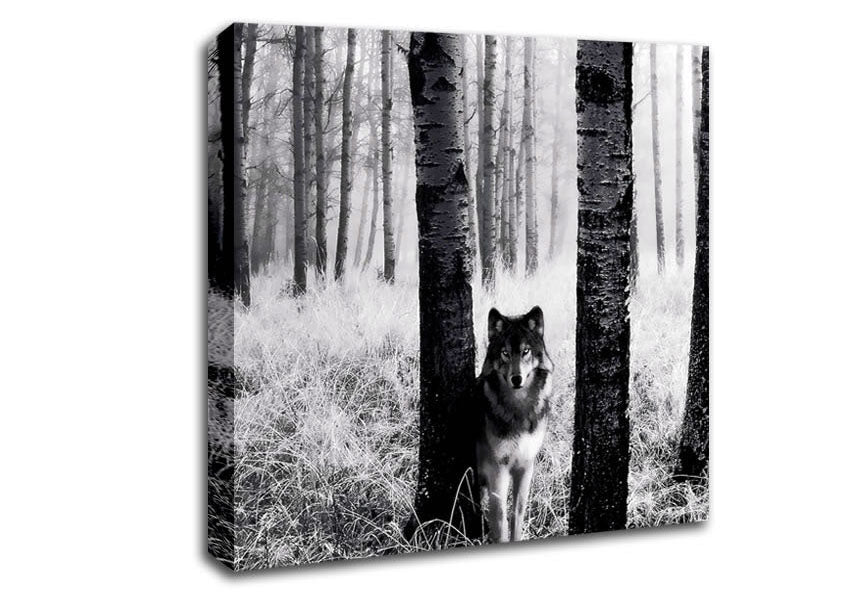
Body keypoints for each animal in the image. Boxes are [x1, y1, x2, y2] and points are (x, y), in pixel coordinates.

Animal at [475, 305, 553, 543]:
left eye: (526, 351)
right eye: (505, 353)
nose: (516, 379)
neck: (518, 410)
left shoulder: (526, 466)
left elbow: (517, 513)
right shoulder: (498, 469)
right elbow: (500, 519)